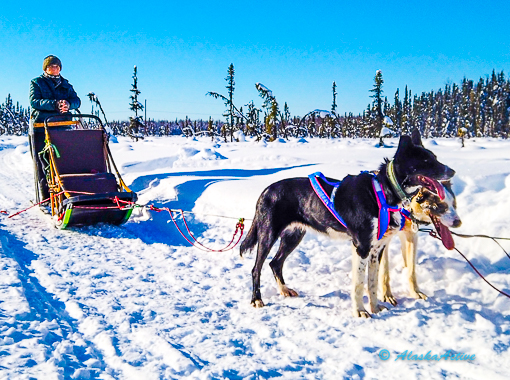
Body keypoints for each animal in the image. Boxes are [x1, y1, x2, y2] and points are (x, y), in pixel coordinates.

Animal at [241, 131, 456, 318]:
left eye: (435, 157)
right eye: (426, 161)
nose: (452, 171)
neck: (383, 191)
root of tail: (266, 190)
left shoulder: (377, 249)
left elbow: (372, 282)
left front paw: (375, 308)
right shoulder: (361, 247)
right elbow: (359, 284)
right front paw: (360, 311)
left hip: (293, 236)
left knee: (275, 263)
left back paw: (284, 289)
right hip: (268, 235)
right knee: (256, 268)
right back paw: (256, 299)